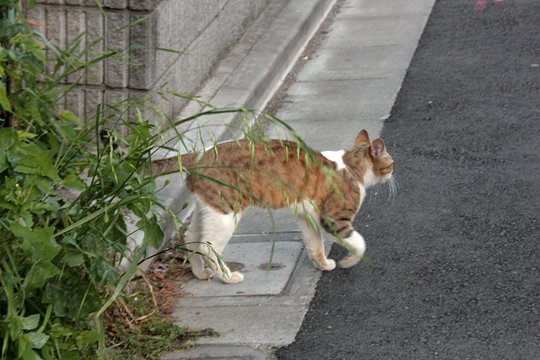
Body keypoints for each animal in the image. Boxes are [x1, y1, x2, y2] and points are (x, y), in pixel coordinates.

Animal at [150, 129, 394, 284]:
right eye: (391, 163)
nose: (393, 173)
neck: (351, 167)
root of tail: (200, 154)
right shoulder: (333, 219)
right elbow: (359, 243)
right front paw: (349, 261)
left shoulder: (307, 217)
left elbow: (315, 244)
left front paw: (323, 264)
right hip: (226, 214)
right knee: (207, 247)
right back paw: (228, 277)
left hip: (208, 209)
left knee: (191, 237)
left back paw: (200, 273)